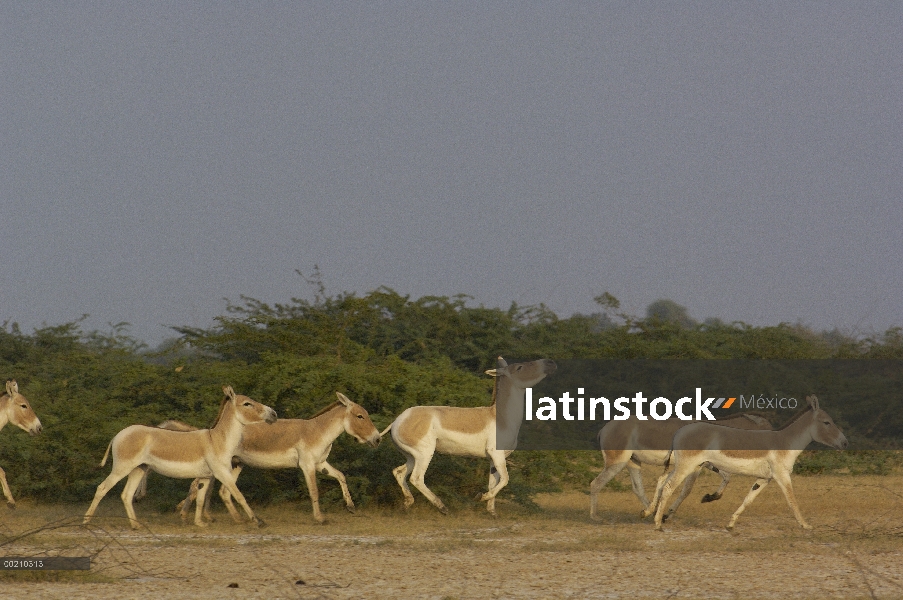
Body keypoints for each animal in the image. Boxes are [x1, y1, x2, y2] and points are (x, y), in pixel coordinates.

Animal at [84, 386, 276, 528]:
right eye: (247, 404)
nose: (273, 414)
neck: (217, 440)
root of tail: (119, 434)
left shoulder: (206, 476)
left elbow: (200, 498)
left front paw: (199, 523)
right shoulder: (222, 473)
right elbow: (239, 495)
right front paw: (258, 521)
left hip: (139, 468)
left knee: (126, 494)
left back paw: (136, 525)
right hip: (122, 467)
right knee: (102, 488)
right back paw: (86, 521)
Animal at [178, 392, 380, 524]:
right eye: (360, 416)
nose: (378, 439)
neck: (318, 431)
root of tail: (214, 427)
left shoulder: (320, 463)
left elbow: (341, 476)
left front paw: (351, 507)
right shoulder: (307, 465)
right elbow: (314, 491)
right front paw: (320, 518)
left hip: (236, 464)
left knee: (222, 491)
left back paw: (235, 518)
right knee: (197, 484)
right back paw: (185, 514)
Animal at [384, 356, 556, 516]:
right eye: (519, 367)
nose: (550, 362)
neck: (501, 418)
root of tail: (397, 421)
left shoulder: (493, 459)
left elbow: (494, 482)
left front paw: (492, 512)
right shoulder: (497, 454)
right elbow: (505, 479)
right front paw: (481, 497)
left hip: (413, 456)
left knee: (399, 472)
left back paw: (408, 503)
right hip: (425, 454)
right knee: (416, 478)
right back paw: (443, 508)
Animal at [588, 412, 772, 520]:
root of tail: (605, 428)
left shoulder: (705, 464)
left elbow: (726, 478)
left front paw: (710, 497)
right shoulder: (695, 467)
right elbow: (686, 490)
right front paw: (668, 514)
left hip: (633, 462)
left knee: (637, 488)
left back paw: (649, 512)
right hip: (616, 463)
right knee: (595, 483)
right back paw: (595, 517)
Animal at [648, 398, 848, 528]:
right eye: (827, 422)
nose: (845, 443)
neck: (784, 443)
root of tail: (680, 431)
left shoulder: (764, 478)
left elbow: (748, 500)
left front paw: (731, 524)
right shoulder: (782, 475)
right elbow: (792, 500)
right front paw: (805, 525)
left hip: (687, 465)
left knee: (663, 483)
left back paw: (653, 514)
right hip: (686, 466)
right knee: (668, 487)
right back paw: (658, 523)